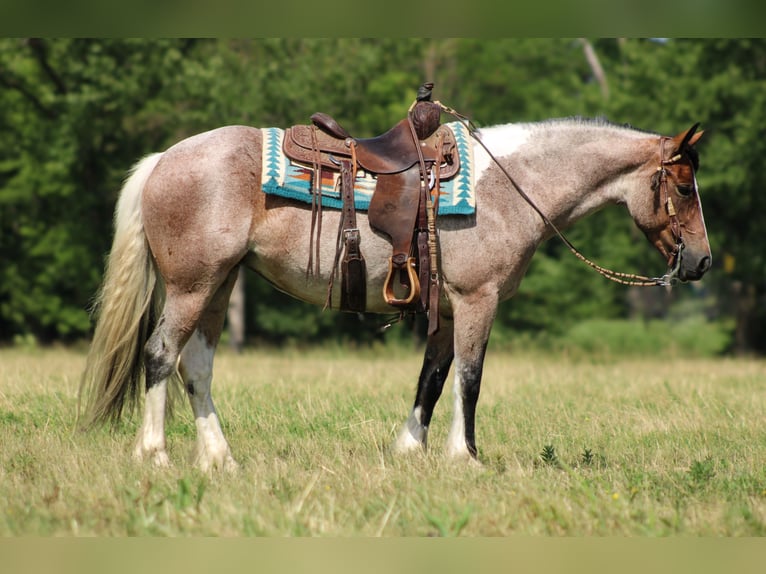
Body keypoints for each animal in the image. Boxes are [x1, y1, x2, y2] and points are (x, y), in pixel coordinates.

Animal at [78, 116, 711, 471]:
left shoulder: (450, 310)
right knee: (161, 354)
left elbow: (432, 377)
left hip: (218, 285)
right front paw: (466, 458)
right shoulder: (478, 300)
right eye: (683, 187)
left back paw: (220, 460)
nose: (701, 261)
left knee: (197, 367)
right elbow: (470, 379)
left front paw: (410, 450)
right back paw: (155, 455)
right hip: (193, 285)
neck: (507, 186)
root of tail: (165, 160)